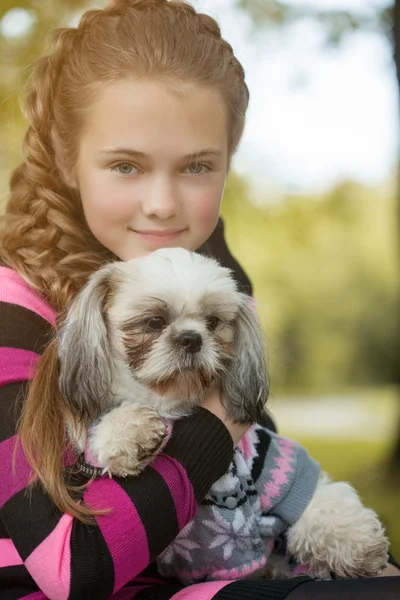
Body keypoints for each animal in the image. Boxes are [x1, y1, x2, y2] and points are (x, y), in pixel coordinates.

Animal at [57, 246, 390, 580]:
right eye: (154, 321)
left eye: (213, 321)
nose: (192, 338)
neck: (173, 405)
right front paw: (130, 434)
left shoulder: (279, 465)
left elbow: (320, 499)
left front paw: (358, 545)